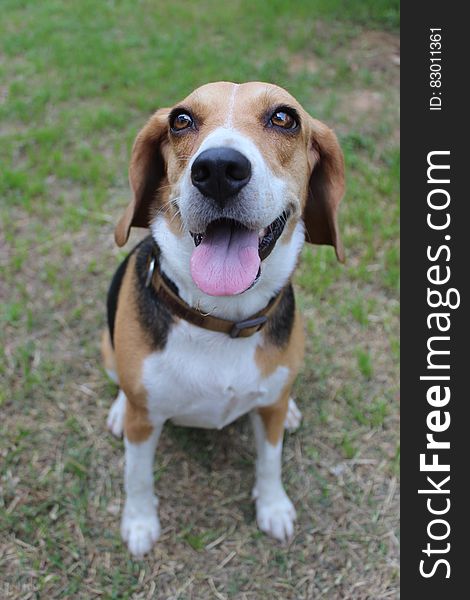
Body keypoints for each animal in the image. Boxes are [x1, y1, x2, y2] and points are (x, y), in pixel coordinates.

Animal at [102, 82, 346, 556]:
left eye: (284, 118)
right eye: (180, 120)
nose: (217, 168)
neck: (218, 319)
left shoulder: (268, 421)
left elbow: (270, 462)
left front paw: (273, 507)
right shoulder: (144, 428)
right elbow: (136, 476)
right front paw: (139, 524)